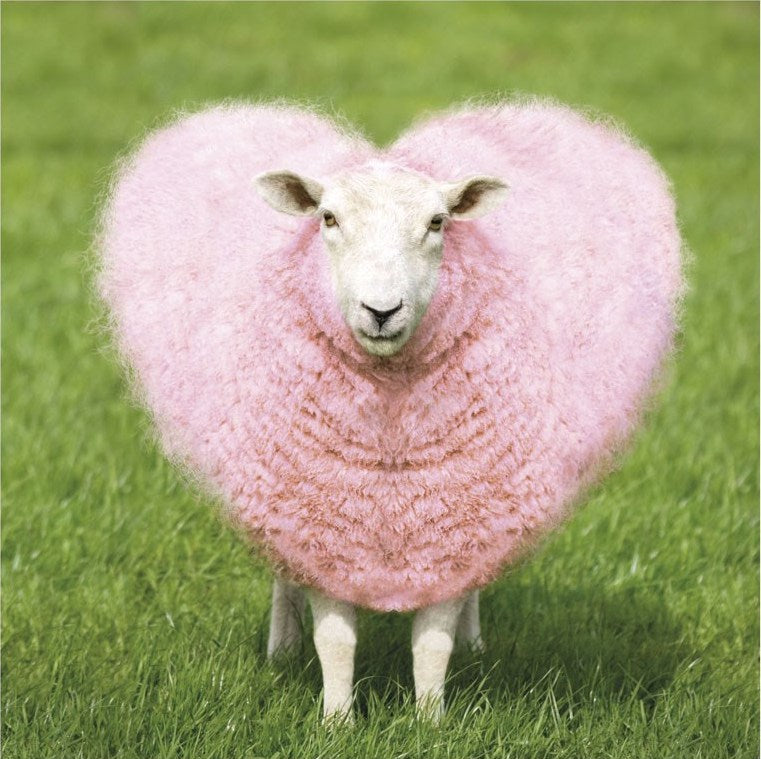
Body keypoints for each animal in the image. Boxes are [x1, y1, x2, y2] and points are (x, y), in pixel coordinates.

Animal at [98, 100, 683, 722]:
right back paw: (282, 646)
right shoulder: (324, 524)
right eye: (328, 218)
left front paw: (431, 721)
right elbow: (335, 639)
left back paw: (474, 642)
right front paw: (337, 722)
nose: (381, 310)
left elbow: (433, 643)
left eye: (438, 222)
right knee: (283, 571)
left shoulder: (452, 523)